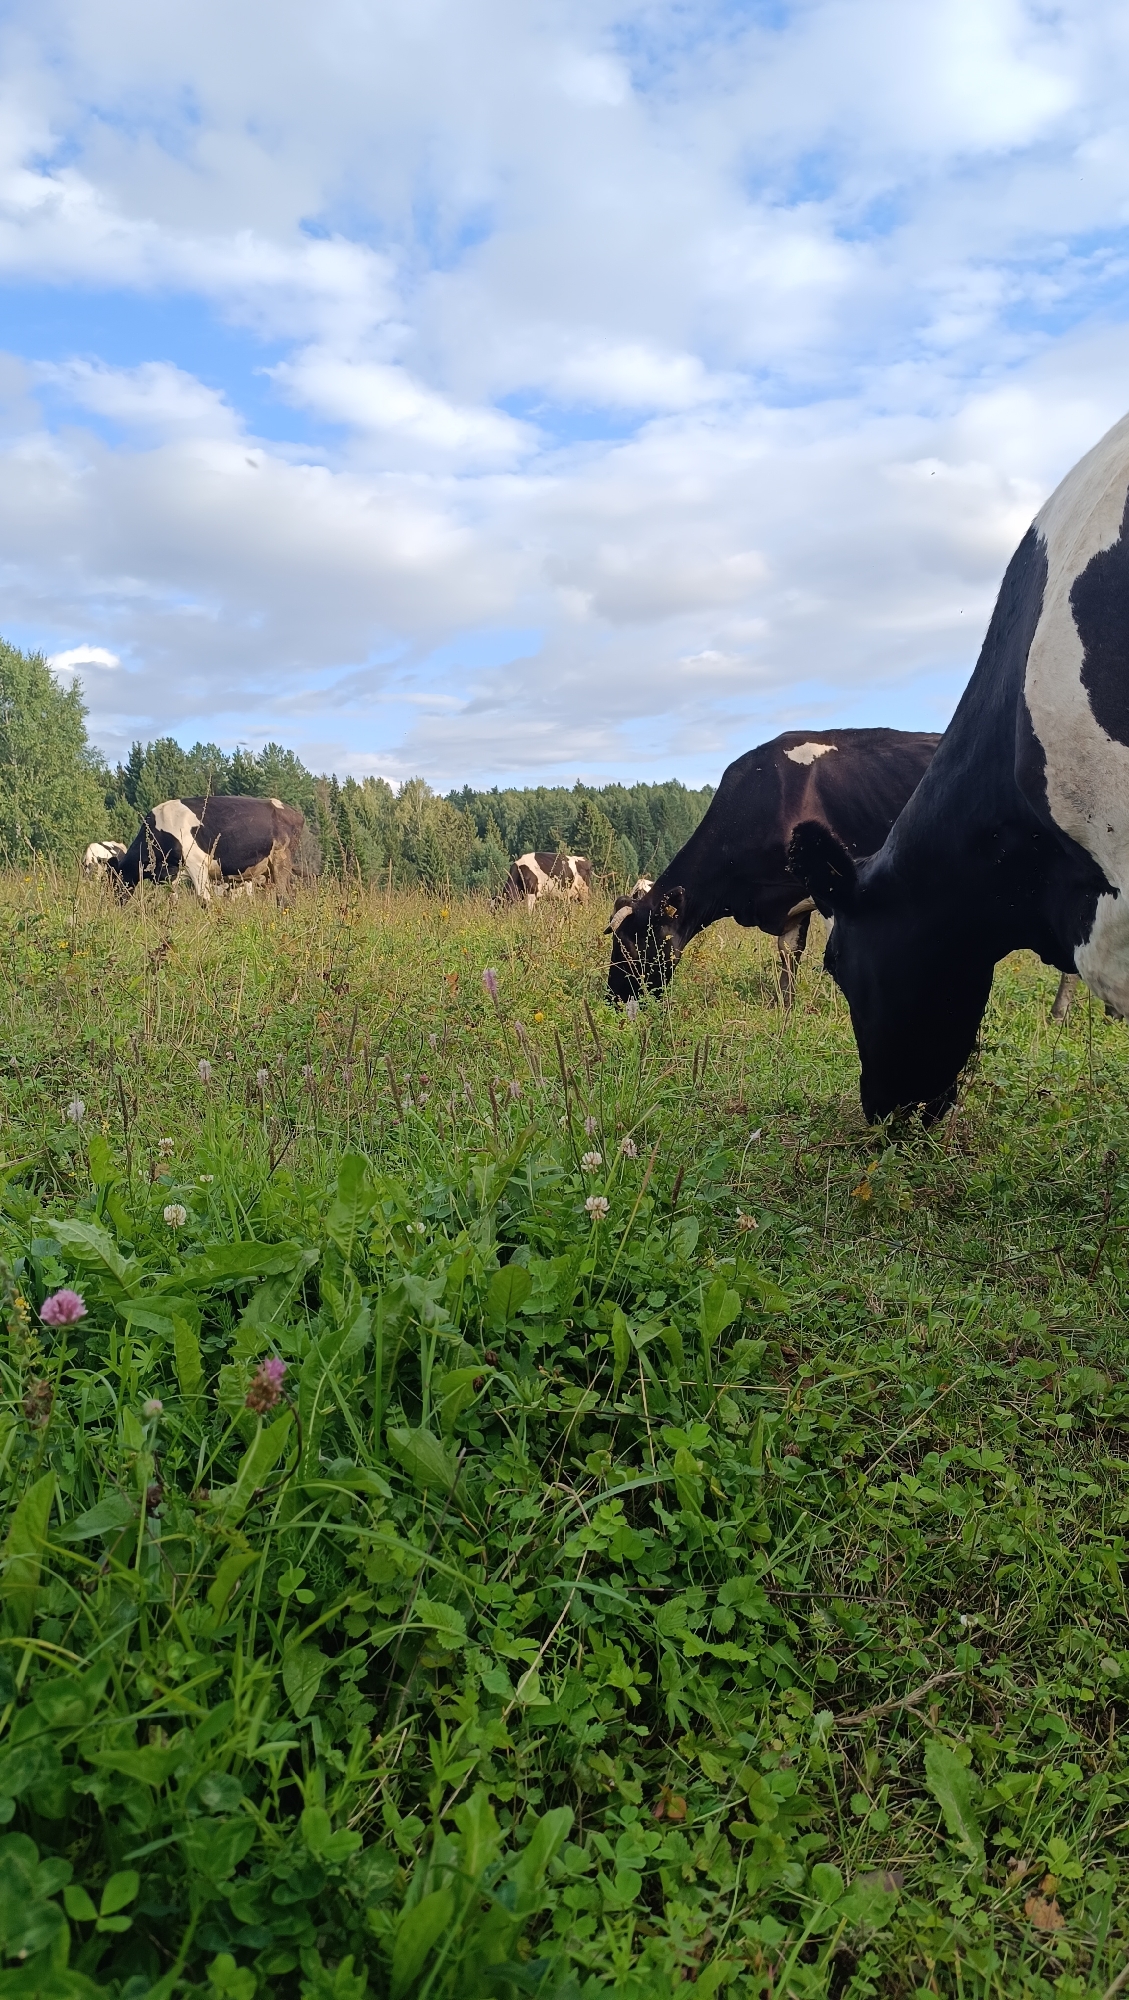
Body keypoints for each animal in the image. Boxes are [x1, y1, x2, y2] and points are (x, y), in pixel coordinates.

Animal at [104, 796, 306, 904]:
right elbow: (173, 900)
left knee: (283, 897)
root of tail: (292, 812)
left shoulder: (197, 864)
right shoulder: (172, 874)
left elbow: (204, 900)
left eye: (115, 879)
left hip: (281, 860)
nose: (115, 904)